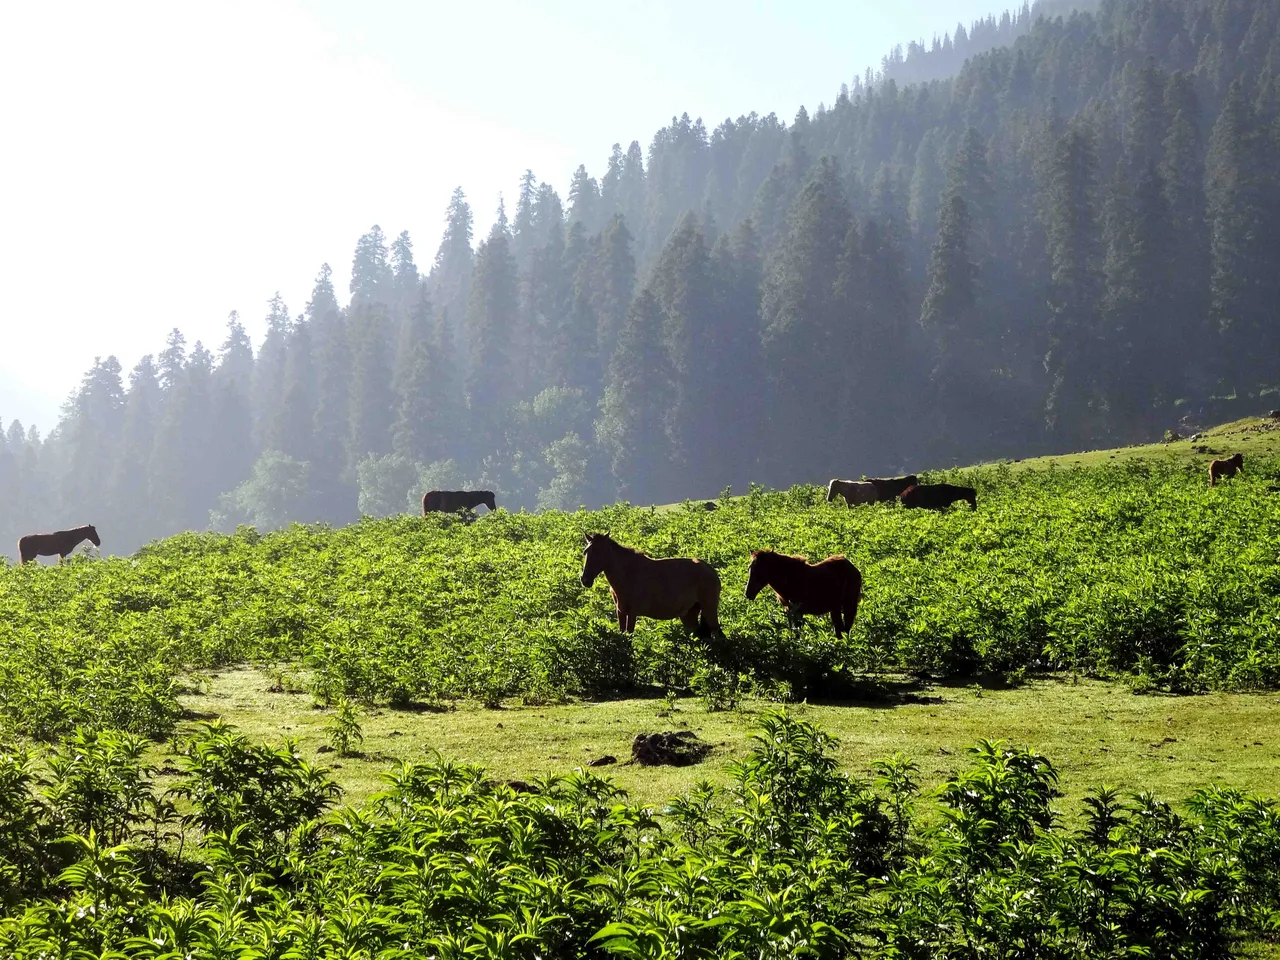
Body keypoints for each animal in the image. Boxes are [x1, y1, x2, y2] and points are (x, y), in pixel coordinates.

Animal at [581, 535, 721, 640]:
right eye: (586, 552)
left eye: (600, 552)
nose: (585, 579)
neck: (627, 574)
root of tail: (711, 571)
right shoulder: (620, 611)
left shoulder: (632, 613)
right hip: (689, 614)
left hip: (709, 609)